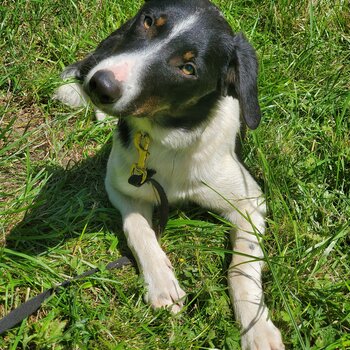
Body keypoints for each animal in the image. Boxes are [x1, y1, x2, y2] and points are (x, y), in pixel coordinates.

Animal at [54, 1, 284, 348]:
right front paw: (162, 283)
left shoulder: (250, 201)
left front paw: (256, 328)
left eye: (188, 68)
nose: (101, 85)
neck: (169, 139)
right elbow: (138, 229)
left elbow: (242, 267)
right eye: (149, 22)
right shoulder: (120, 185)